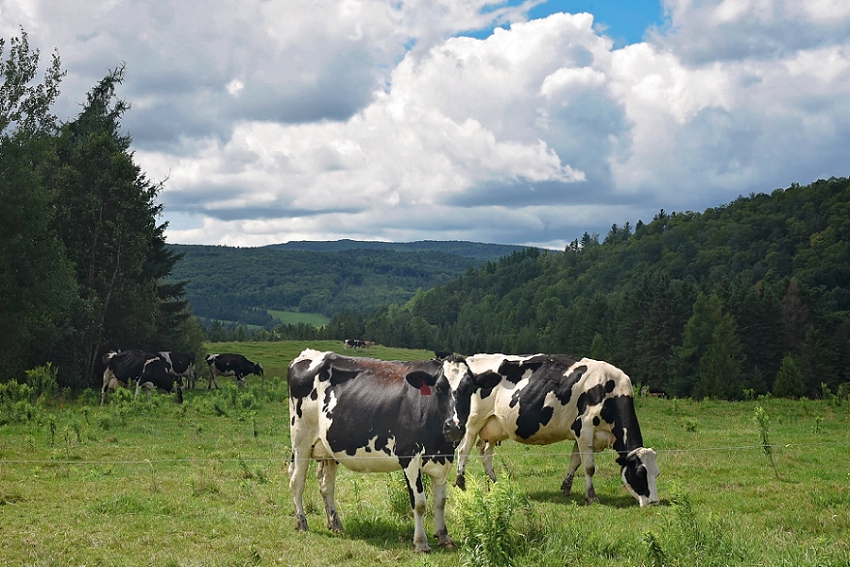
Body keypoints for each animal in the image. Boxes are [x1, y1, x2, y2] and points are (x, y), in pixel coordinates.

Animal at [286, 348, 470, 552]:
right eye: (439, 388)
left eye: (469, 388)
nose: (454, 427)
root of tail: (308, 354)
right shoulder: (410, 457)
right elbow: (420, 503)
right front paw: (421, 542)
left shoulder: (444, 459)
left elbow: (440, 501)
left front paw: (444, 537)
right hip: (301, 441)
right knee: (297, 481)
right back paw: (302, 523)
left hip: (329, 447)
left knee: (326, 486)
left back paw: (335, 524)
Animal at [454, 352, 660, 508]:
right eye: (640, 473)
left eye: (656, 473)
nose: (654, 502)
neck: (609, 390)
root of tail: (473, 358)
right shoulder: (584, 428)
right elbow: (589, 466)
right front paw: (591, 496)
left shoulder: (581, 434)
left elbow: (575, 461)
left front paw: (566, 488)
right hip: (472, 421)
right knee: (464, 450)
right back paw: (461, 484)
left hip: (493, 425)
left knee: (484, 452)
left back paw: (495, 483)